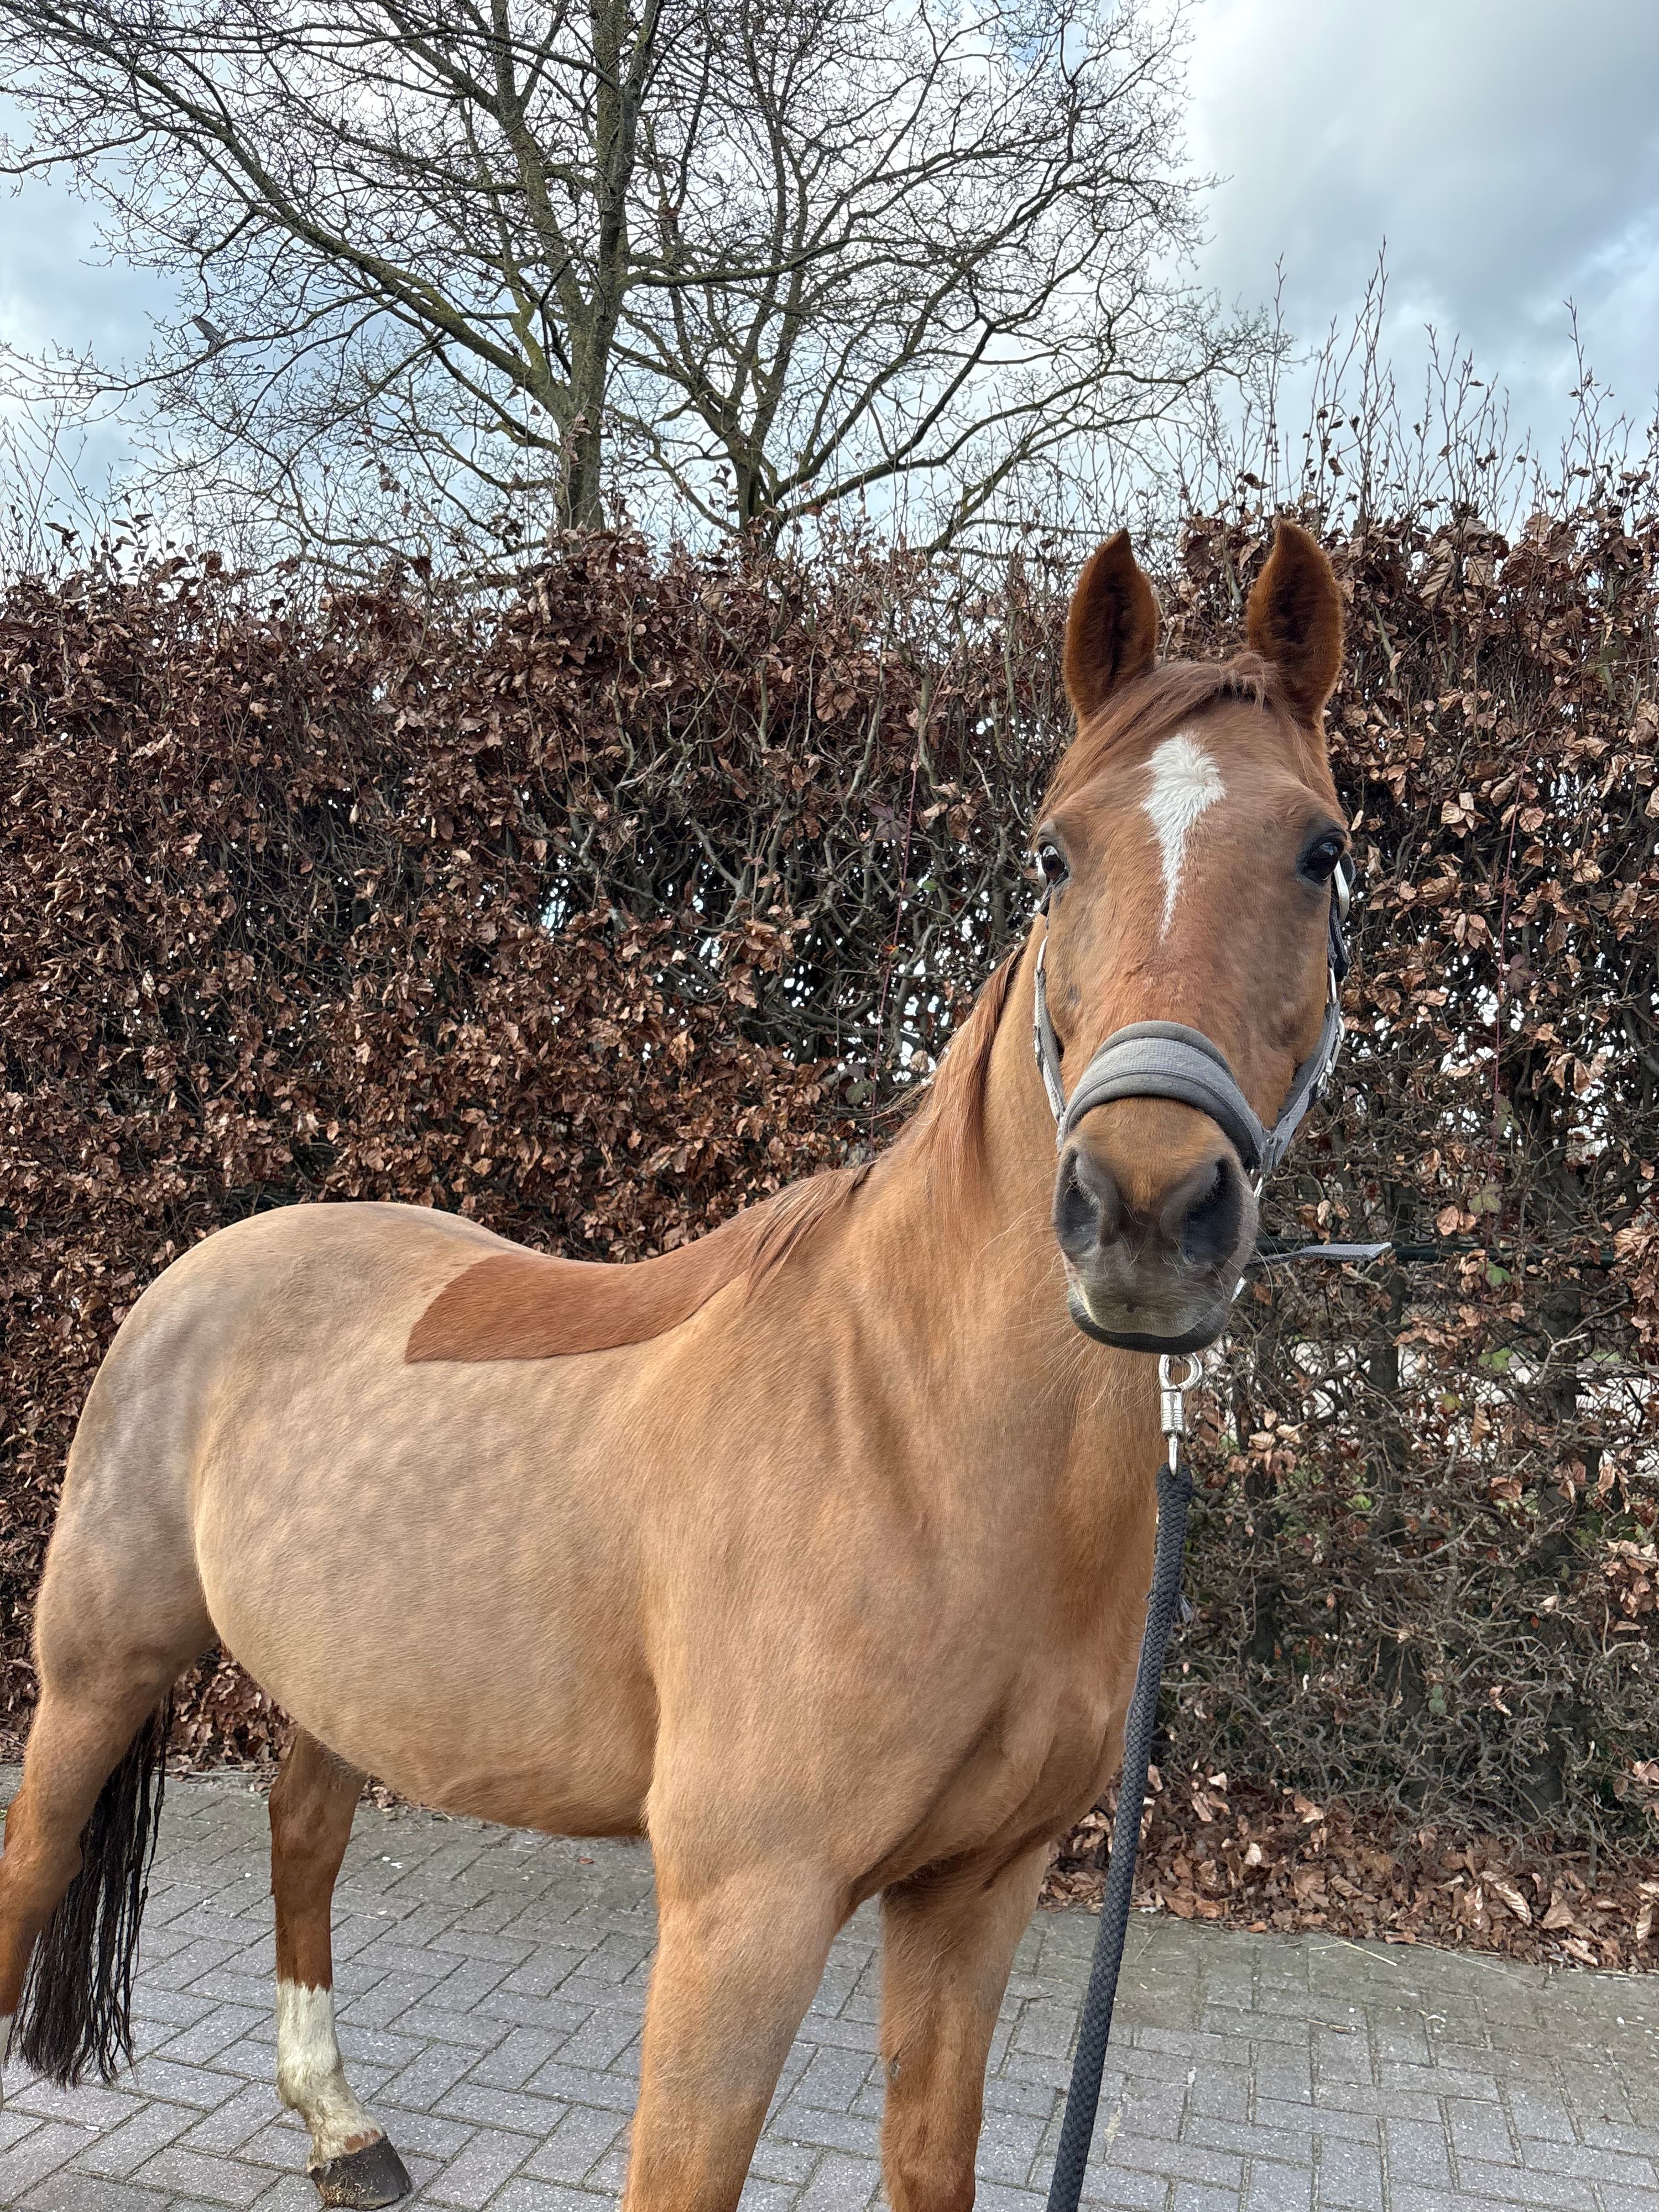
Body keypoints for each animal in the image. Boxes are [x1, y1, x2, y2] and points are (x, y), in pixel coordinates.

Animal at [0, 520, 1349, 2211]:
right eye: (1054, 856)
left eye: (1320, 853)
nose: (1148, 1207)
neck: (915, 1433)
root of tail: (195, 1274)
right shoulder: (743, 1913)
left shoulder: (975, 1893)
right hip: (91, 1673)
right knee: (29, 1868)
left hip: (341, 1677)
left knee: (302, 1835)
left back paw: (341, 2125)